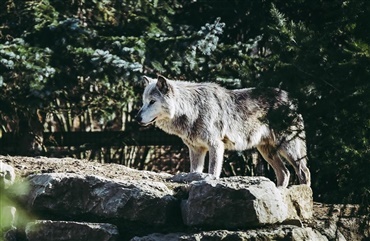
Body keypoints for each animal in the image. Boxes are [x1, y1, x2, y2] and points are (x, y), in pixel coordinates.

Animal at [134, 74, 310, 187]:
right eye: (143, 102)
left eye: (152, 102)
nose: (137, 118)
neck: (192, 109)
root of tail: (292, 99)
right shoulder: (196, 149)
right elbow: (194, 171)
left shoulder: (216, 146)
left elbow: (212, 171)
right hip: (266, 151)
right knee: (285, 173)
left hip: (289, 148)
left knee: (304, 171)